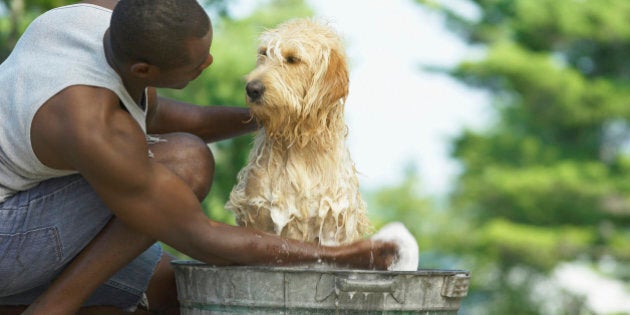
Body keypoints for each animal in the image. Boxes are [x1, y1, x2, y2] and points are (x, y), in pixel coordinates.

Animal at [227, 19, 372, 247]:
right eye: (263, 54)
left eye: (292, 59)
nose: (252, 88)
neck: (298, 144)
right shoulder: (258, 215)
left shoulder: (333, 226)